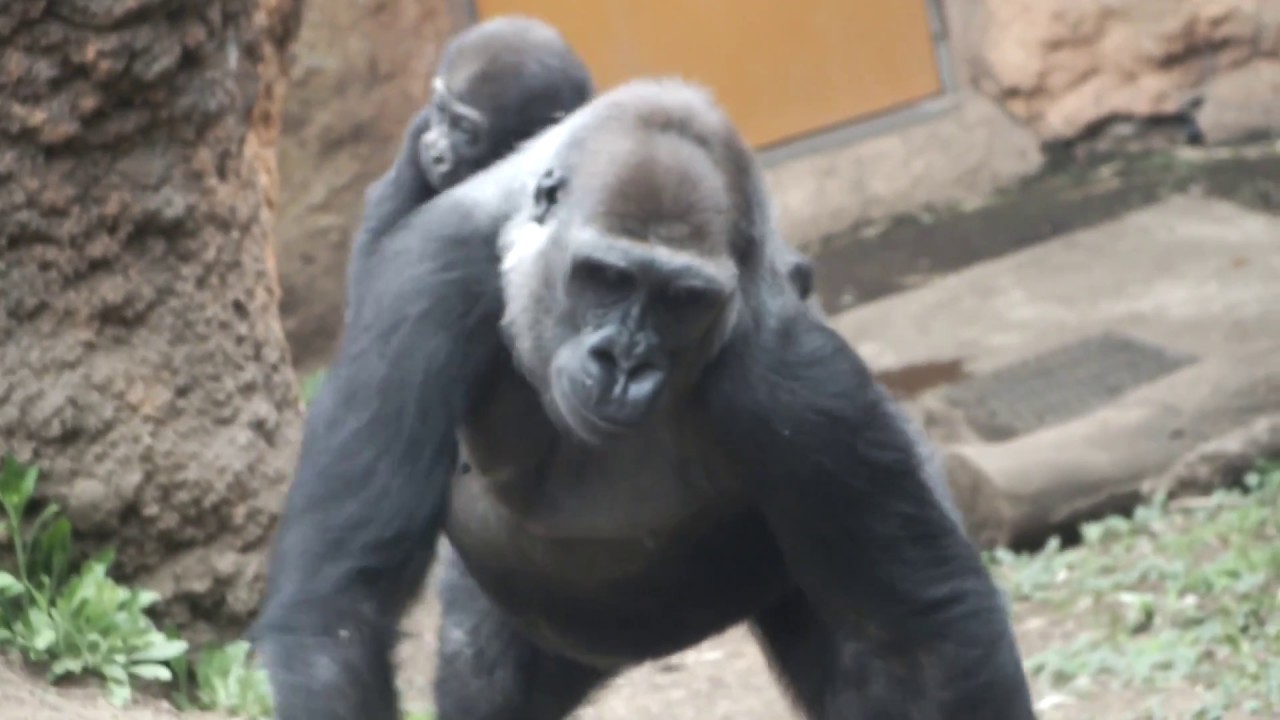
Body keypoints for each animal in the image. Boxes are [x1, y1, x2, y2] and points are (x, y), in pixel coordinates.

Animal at [252, 77, 1036, 720]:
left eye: (681, 299)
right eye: (606, 277)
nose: (624, 361)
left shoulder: (795, 378)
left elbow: (925, 633)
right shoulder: (425, 289)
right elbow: (339, 615)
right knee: (484, 678)